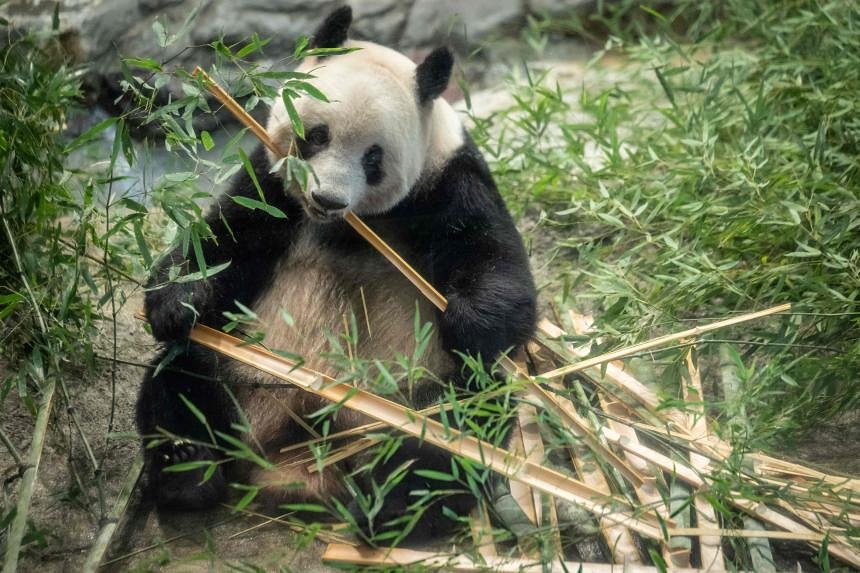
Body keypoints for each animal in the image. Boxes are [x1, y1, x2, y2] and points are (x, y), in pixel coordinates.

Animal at [137, 4, 536, 540]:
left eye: (374, 157)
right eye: (315, 136)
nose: (326, 199)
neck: (347, 226)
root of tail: (295, 459)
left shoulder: (451, 181)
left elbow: (499, 270)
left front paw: (468, 321)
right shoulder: (271, 185)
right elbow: (222, 242)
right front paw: (174, 303)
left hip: (411, 394)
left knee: (456, 425)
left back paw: (394, 504)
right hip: (239, 366)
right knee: (179, 382)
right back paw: (187, 468)